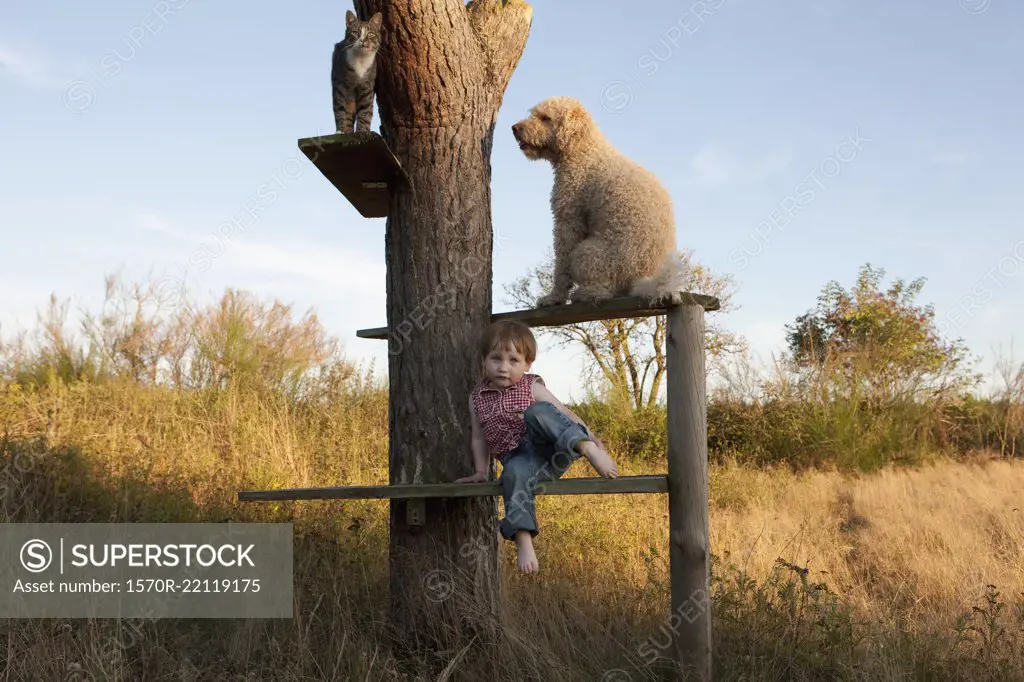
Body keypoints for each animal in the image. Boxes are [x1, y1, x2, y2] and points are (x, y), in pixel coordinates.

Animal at [512, 95, 688, 305]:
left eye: (545, 118)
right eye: (533, 114)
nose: (514, 128)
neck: (582, 149)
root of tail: (648, 282)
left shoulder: (568, 219)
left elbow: (561, 265)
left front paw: (554, 297)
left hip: (587, 253)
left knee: (604, 291)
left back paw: (584, 294)